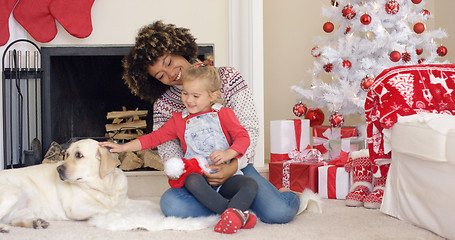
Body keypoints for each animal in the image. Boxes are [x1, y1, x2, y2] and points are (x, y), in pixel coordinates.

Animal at [0, 139, 128, 232]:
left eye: (79, 155)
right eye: (67, 154)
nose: (59, 169)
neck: (103, 187)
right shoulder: (75, 207)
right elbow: (108, 208)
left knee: (14, 220)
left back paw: (37, 222)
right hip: (14, 191)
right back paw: (3, 228)